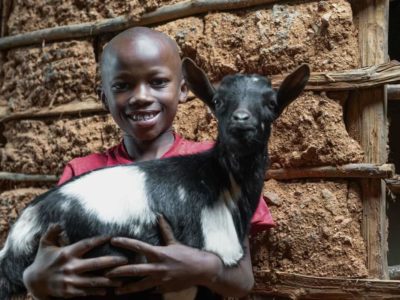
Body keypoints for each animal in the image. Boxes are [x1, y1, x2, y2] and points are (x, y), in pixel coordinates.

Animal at [0, 57, 310, 298]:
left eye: (271, 103)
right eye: (218, 101)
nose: (241, 120)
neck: (221, 181)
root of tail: (20, 234)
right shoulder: (189, 271)